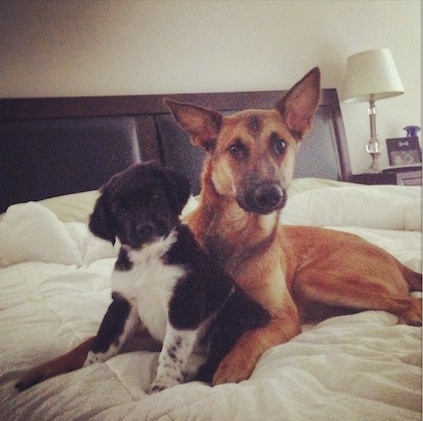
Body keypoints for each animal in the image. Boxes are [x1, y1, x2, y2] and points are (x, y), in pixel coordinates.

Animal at [84, 162, 270, 392]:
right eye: (121, 210)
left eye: (155, 197)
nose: (145, 228)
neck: (149, 258)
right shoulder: (122, 304)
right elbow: (104, 339)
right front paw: (86, 369)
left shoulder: (184, 303)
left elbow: (172, 350)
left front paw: (164, 382)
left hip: (229, 315)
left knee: (213, 363)